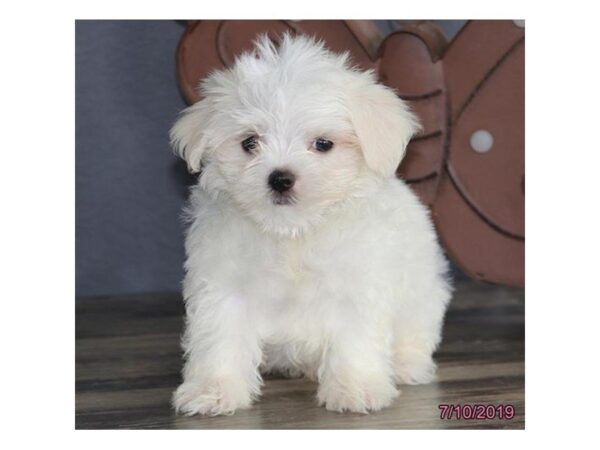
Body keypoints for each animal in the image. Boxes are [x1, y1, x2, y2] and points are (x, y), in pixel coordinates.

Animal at [169, 33, 450, 416]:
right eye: (249, 142)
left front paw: (355, 388)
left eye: (323, 144)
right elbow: (219, 338)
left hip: (422, 296)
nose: (280, 178)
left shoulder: (357, 285)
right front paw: (214, 390)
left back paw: (406, 366)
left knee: (415, 334)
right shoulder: (223, 285)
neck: (293, 232)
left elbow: (355, 340)